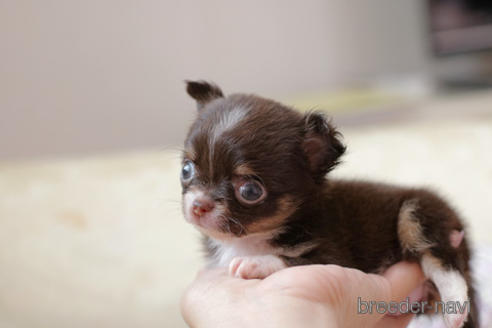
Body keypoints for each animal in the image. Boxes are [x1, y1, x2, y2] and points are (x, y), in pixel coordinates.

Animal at [180, 80, 476, 328]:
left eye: (250, 191)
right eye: (186, 170)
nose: (198, 205)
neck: (252, 238)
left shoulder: (335, 257)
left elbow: (292, 260)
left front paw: (257, 263)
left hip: (417, 213)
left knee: (443, 263)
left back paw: (454, 307)